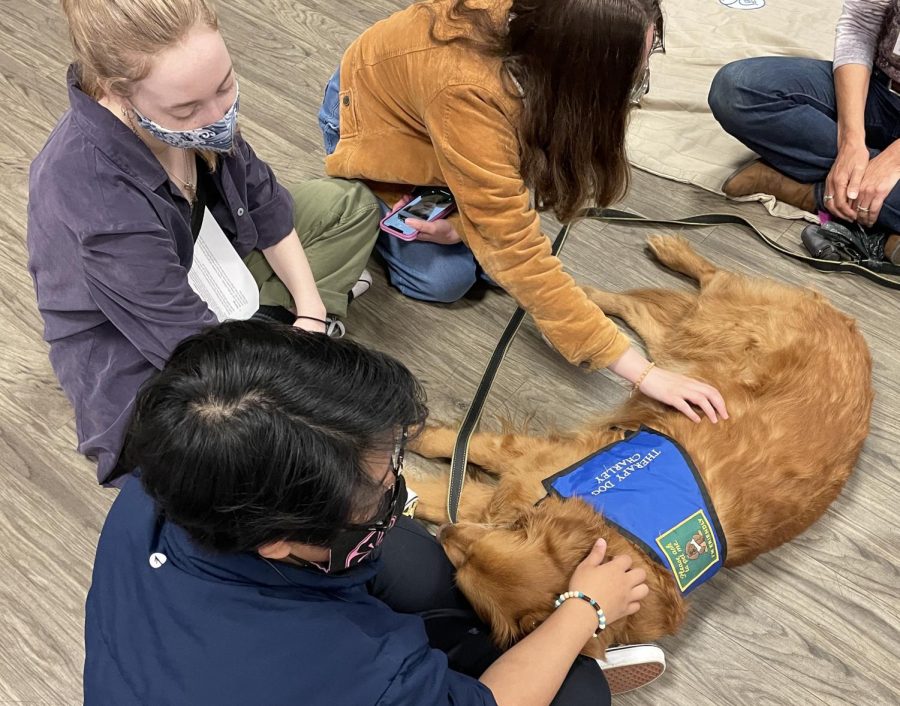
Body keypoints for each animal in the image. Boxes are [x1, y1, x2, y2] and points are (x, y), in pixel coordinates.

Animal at [408, 235, 872, 656]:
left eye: (460, 567)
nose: (446, 534)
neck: (616, 534)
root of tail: (852, 330)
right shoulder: (529, 466)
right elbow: (460, 453)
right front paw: (414, 437)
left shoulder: (519, 481)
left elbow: (444, 491)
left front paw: (409, 484)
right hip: (701, 335)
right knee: (704, 282)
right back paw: (656, 257)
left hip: (689, 344)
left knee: (652, 313)